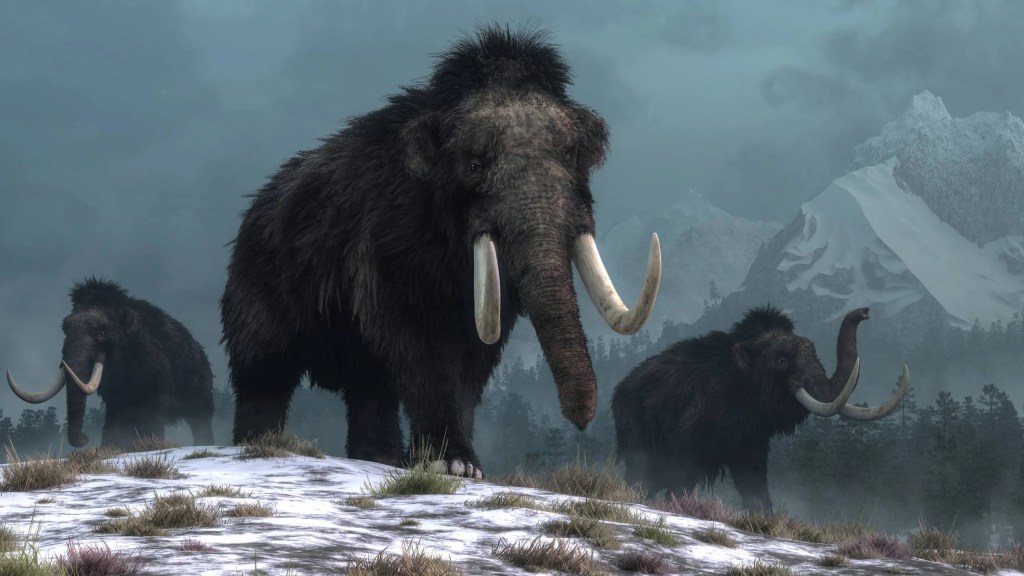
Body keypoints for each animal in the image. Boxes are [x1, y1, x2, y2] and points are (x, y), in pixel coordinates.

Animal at [7, 277, 215, 449]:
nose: (84, 438)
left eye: (101, 332)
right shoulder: (115, 401)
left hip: (201, 399)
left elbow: (152, 424)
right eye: (65, 329)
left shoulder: (156, 395)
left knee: (201, 423)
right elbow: (112, 427)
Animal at [219, 23, 662, 478]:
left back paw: (379, 458)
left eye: (572, 156)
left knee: (368, 386)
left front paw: (458, 465)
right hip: (253, 298)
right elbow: (418, 347)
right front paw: (452, 465)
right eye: (475, 164)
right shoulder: (385, 252)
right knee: (265, 376)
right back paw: (261, 445)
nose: (581, 421)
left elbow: (474, 359)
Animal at [611, 305, 910, 511]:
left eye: (814, 352)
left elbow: (756, 490)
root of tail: (618, 392)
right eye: (781, 360)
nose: (864, 312)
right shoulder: (688, 443)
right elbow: (680, 484)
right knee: (638, 480)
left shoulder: (751, 445)